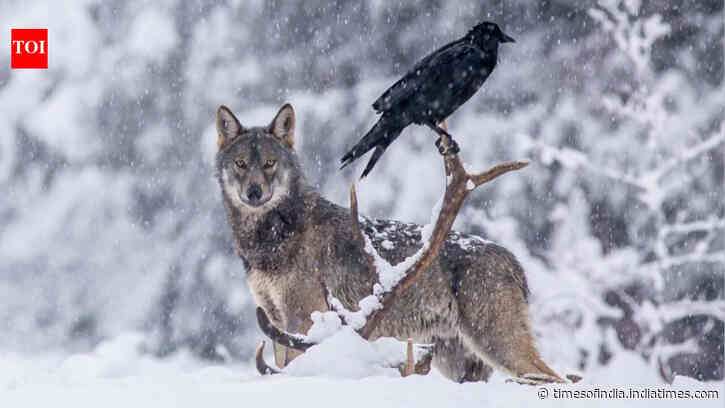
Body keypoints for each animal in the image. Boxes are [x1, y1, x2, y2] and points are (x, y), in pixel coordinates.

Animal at [215, 103, 562, 383]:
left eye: (270, 163)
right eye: (240, 163)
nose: (254, 193)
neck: (267, 244)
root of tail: (513, 261)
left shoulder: (303, 316)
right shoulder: (273, 314)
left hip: (495, 341)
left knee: (553, 377)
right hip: (455, 356)